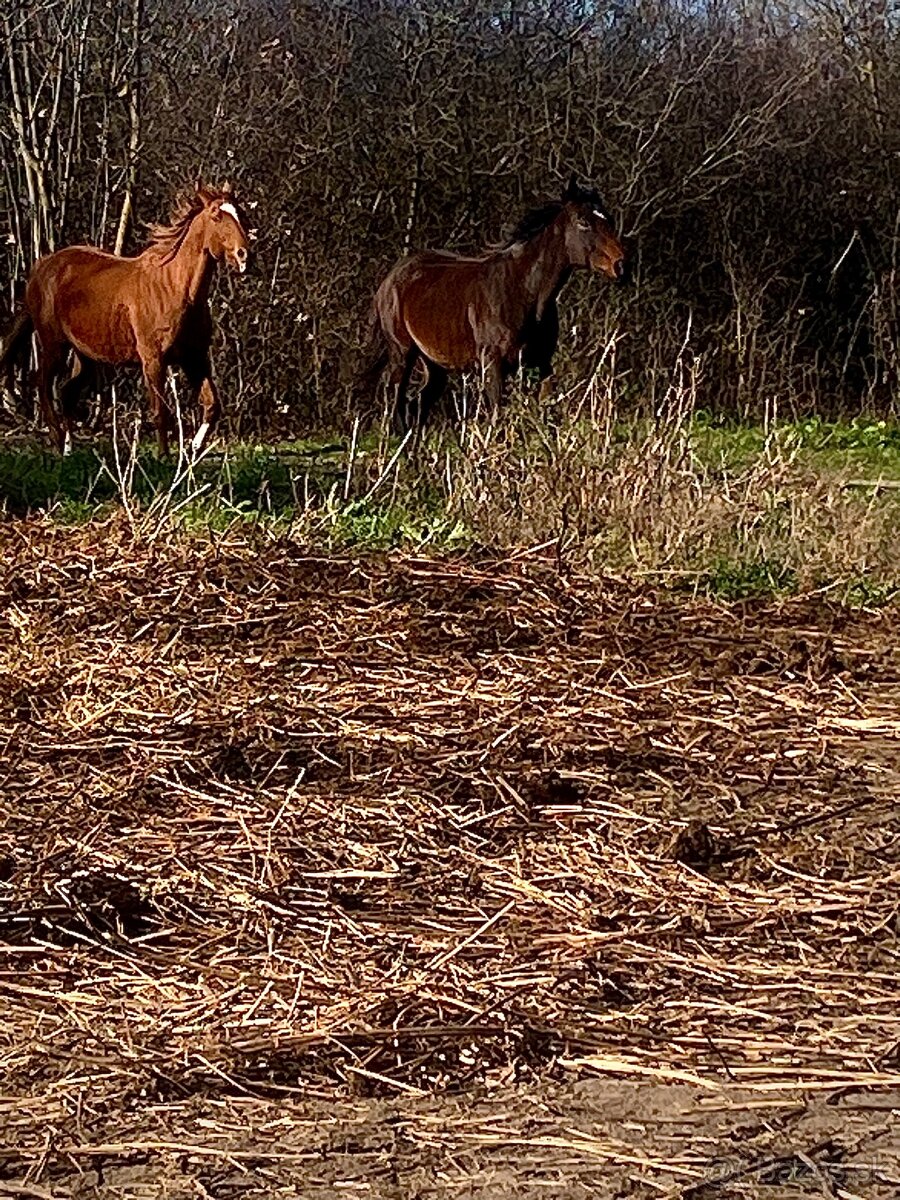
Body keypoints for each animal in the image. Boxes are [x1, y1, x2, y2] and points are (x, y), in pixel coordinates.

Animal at [0, 184, 250, 451]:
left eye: (240, 212)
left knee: (67, 392)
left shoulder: (194, 358)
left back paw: (70, 449)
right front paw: (164, 456)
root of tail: (41, 267)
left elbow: (212, 405)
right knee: (43, 384)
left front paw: (194, 447)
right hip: (54, 344)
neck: (175, 289)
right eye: (216, 215)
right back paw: (57, 440)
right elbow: (161, 413)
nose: (244, 256)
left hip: (86, 356)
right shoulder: (153, 359)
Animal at [367, 174, 628, 427]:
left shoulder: (540, 364)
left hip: (434, 364)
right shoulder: (493, 364)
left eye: (609, 219)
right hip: (402, 353)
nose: (621, 265)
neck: (522, 291)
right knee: (396, 406)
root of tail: (389, 279)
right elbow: (497, 416)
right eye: (582, 221)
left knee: (416, 408)